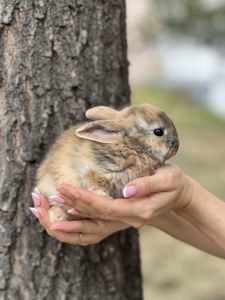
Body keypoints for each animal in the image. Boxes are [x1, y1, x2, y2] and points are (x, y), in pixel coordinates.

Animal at [35, 103, 179, 223]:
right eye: (158, 132)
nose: (176, 146)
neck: (131, 146)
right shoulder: (94, 172)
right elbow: (96, 183)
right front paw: (104, 197)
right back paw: (56, 216)